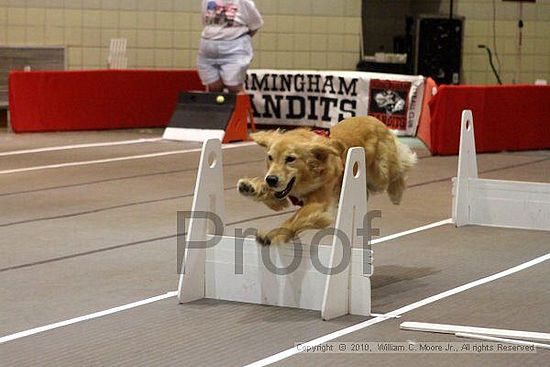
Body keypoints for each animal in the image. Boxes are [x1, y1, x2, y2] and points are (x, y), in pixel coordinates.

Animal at [238, 116, 418, 246]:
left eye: (290, 159)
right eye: (270, 157)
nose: (271, 179)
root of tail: (376, 120)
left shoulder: (318, 203)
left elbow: (294, 219)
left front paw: (274, 235)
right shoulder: (286, 191)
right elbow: (276, 197)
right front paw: (250, 186)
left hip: (380, 172)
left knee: (400, 167)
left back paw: (396, 192)